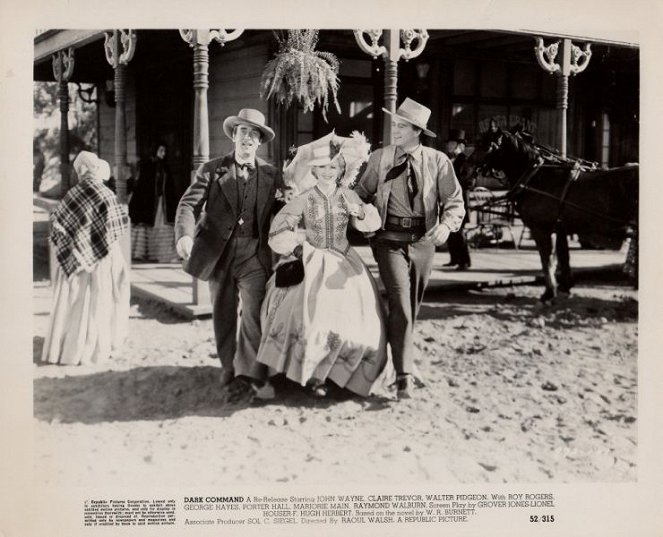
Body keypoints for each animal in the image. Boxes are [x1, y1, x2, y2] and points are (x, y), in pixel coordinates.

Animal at [462, 127, 640, 300]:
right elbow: (562, 256)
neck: (537, 176)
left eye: (485, 146)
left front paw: (549, 292)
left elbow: (546, 259)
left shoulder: (541, 229)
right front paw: (565, 286)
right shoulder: (559, 228)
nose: (465, 173)